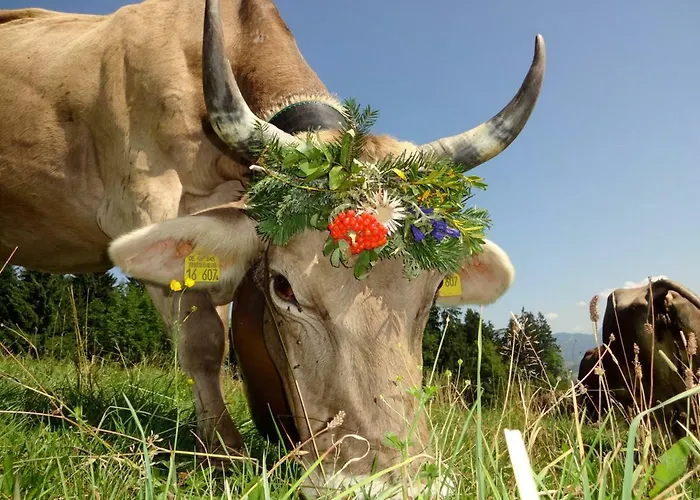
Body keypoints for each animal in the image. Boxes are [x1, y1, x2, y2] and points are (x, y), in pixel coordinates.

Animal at [0, 0, 546, 496]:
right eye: (283, 288)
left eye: (433, 294)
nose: (392, 485)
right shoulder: (143, 203)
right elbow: (201, 342)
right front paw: (223, 454)